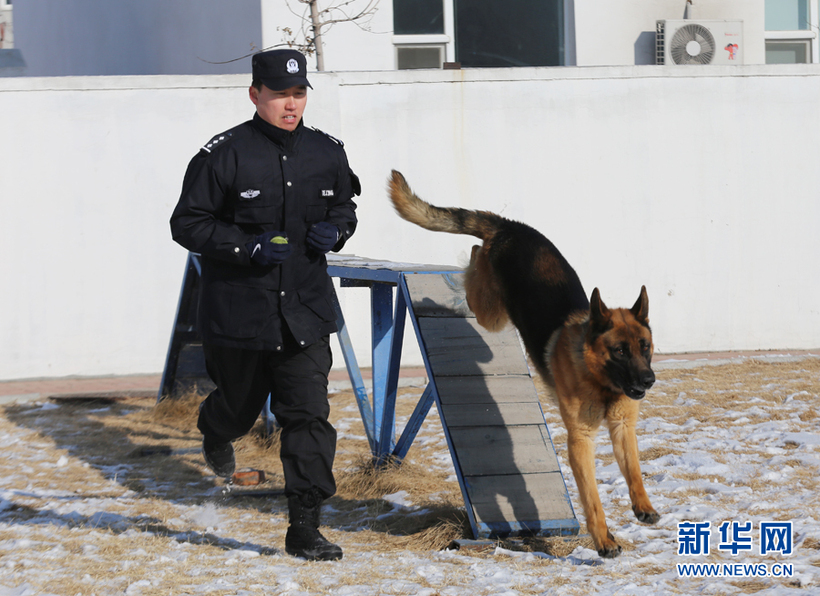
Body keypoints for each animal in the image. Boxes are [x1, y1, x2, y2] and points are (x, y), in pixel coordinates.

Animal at [386, 169, 660, 560]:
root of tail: (509, 227)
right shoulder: (581, 441)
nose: (649, 379)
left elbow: (634, 472)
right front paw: (604, 540)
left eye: (645, 347)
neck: (597, 376)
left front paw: (643, 507)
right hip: (490, 311)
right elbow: (592, 499)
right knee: (473, 260)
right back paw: (462, 267)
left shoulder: (624, 428)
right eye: (620, 351)